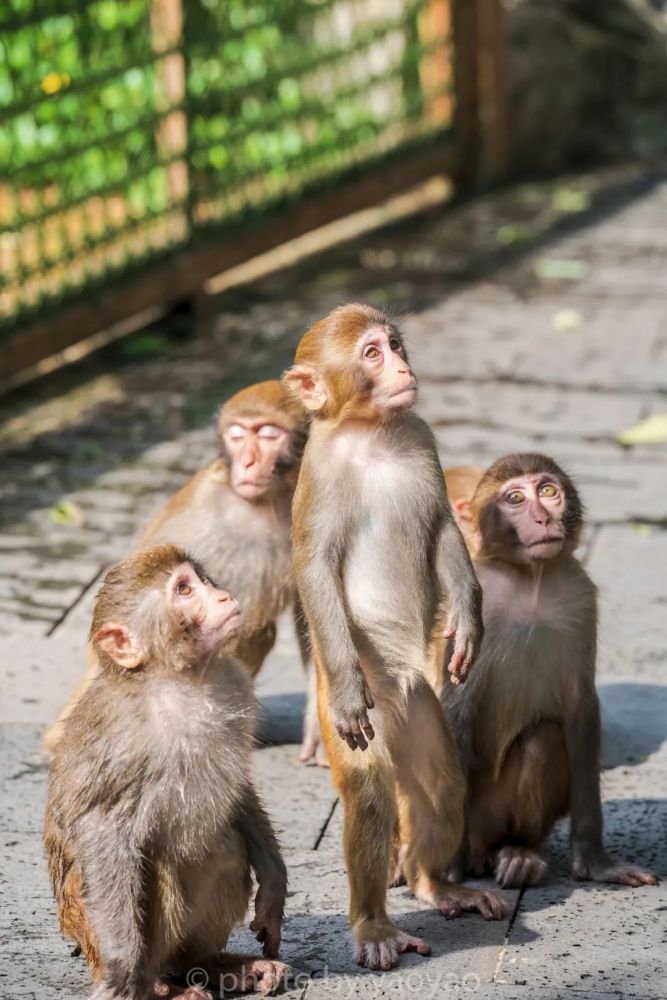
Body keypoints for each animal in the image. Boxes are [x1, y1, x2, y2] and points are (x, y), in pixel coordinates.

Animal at [43, 548, 290, 1000]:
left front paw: (274, 887)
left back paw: (211, 964)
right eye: (184, 590)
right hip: (87, 927)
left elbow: (238, 790)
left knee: (224, 847)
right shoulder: (122, 744)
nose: (223, 596)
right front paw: (123, 972)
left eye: (201, 581)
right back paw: (158, 984)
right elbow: (102, 832)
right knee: (159, 865)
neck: (177, 679)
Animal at [284, 302, 506, 968]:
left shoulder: (421, 436)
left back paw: (437, 885)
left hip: (423, 711)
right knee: (371, 792)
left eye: (395, 344)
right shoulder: (319, 476)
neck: (372, 434)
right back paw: (374, 928)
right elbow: (315, 570)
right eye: (371, 354)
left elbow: (441, 526)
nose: (403, 367)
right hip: (373, 709)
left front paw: (468, 622)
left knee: (441, 780)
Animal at [436, 458, 660, 888]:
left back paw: (517, 853)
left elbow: (580, 708)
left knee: (543, 737)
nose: (542, 518)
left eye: (548, 491)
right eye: (515, 498)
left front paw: (595, 860)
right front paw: (446, 870)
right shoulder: (473, 605)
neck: (532, 584)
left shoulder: (580, 597)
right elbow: (455, 706)